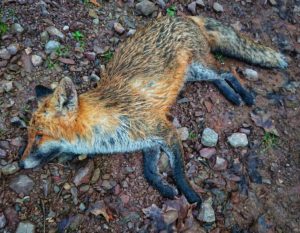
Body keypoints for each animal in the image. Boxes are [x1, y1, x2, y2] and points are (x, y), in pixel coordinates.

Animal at [18, 15, 286, 206]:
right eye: (28, 137)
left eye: (39, 136)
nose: (19, 165)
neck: (109, 130)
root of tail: (180, 16)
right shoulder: (148, 141)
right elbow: (149, 172)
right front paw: (166, 189)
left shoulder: (165, 131)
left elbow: (178, 170)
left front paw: (190, 195)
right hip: (194, 74)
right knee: (219, 78)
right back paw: (232, 95)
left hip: (201, 67)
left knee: (227, 72)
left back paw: (244, 95)